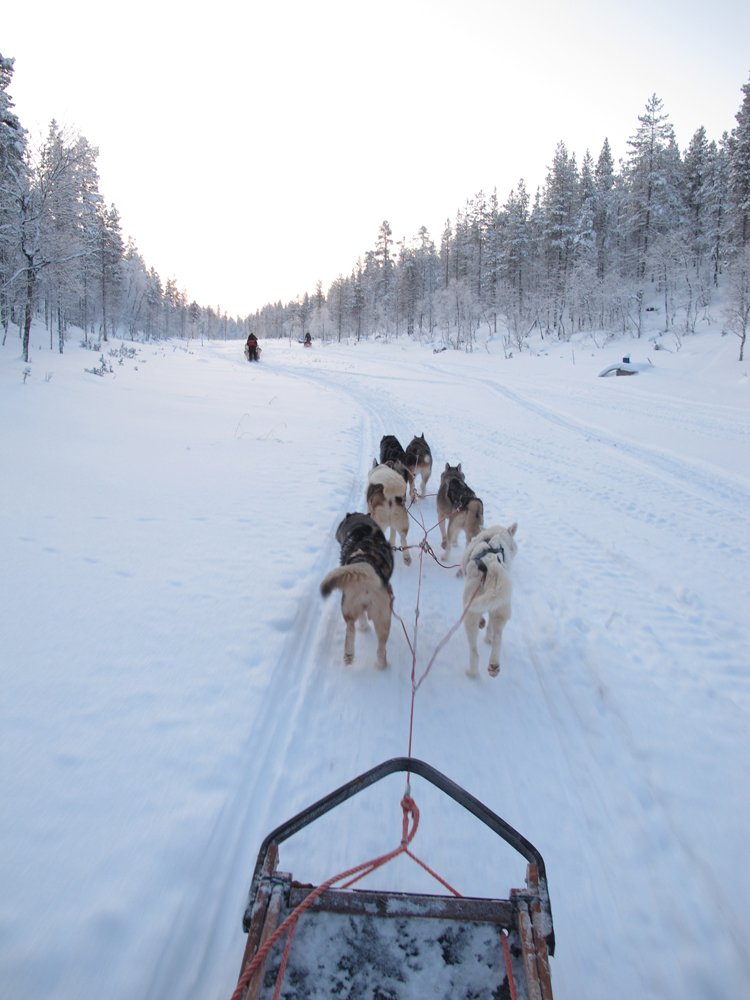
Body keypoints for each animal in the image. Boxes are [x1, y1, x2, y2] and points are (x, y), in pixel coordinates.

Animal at [462, 524, 520, 680]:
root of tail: (491, 563)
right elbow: (489, 626)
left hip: (470, 614)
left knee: (475, 653)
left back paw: (472, 673)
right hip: (500, 608)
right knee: (498, 637)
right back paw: (493, 664)